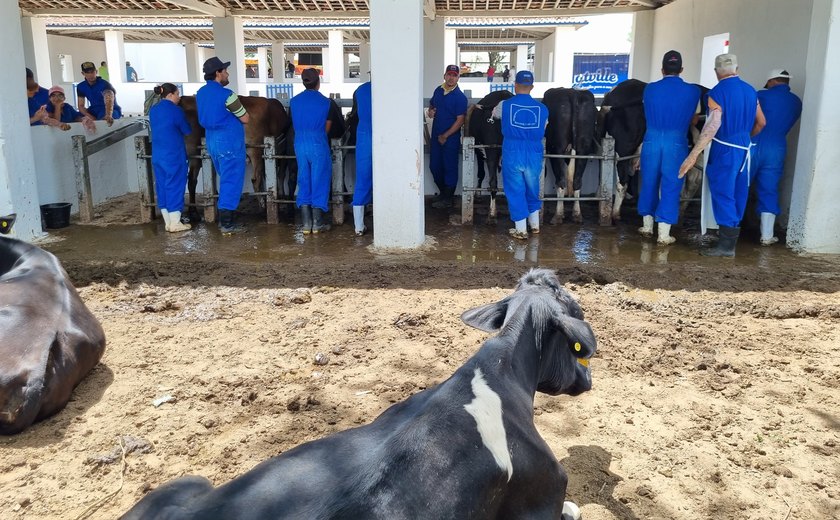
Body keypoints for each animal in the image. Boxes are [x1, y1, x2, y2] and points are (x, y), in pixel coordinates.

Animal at [540, 88, 600, 225]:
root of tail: (573, 93)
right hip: (583, 149)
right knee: (577, 181)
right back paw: (577, 215)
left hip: (557, 149)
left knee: (561, 181)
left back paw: (557, 216)